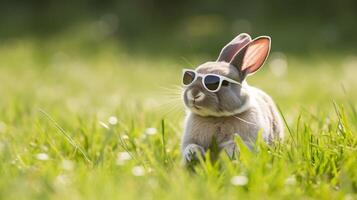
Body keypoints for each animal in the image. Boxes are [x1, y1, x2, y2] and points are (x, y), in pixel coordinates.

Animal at [181, 32, 284, 164]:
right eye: (189, 78)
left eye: (223, 83)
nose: (194, 94)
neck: (217, 117)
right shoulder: (190, 140)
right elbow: (191, 146)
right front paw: (192, 156)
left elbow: (232, 147)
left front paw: (231, 160)